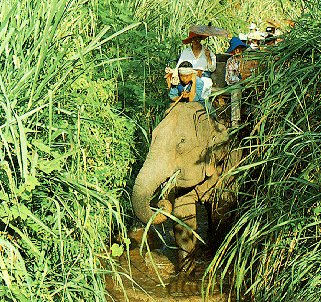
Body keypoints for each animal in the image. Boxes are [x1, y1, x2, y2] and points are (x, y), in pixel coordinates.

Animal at [131, 101, 240, 276]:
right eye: (153, 136)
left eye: (181, 142)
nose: (161, 203)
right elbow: (183, 216)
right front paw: (185, 273)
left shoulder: (231, 166)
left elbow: (222, 211)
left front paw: (216, 262)